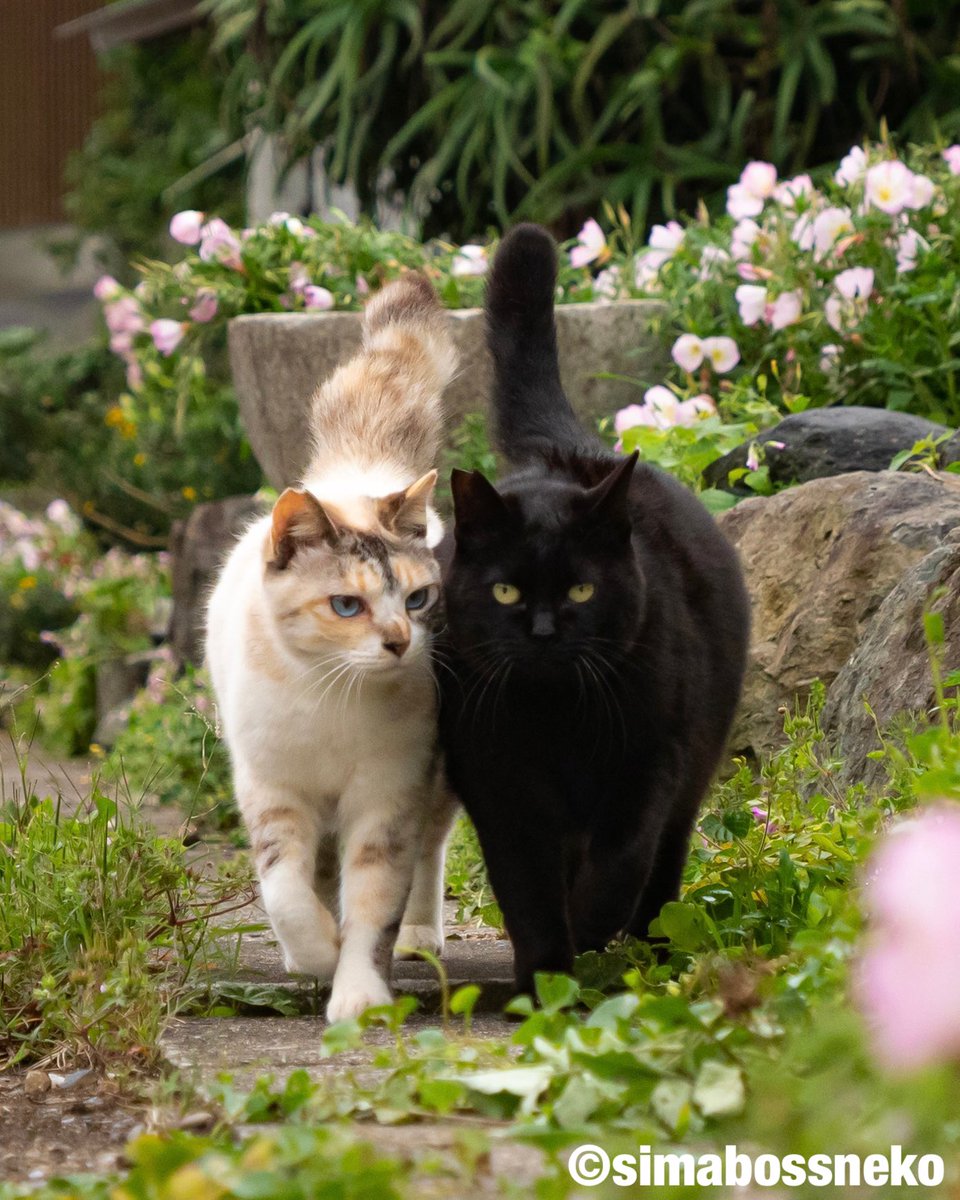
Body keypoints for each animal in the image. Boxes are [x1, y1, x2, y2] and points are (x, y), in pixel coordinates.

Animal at [208, 274, 460, 1022]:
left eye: (418, 599)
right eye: (347, 605)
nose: (400, 642)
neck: (332, 701)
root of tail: (355, 473)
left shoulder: (388, 796)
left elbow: (374, 901)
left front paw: (358, 994)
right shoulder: (273, 792)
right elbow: (286, 892)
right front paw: (314, 952)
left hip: (437, 778)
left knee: (430, 852)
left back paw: (422, 935)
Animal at [434, 225, 748, 993]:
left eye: (581, 590)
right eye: (506, 591)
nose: (545, 630)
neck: (557, 723)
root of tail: (571, 451)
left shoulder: (651, 760)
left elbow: (623, 856)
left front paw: (595, 924)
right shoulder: (499, 788)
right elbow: (526, 892)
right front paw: (546, 982)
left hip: (694, 763)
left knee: (663, 864)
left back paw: (654, 944)